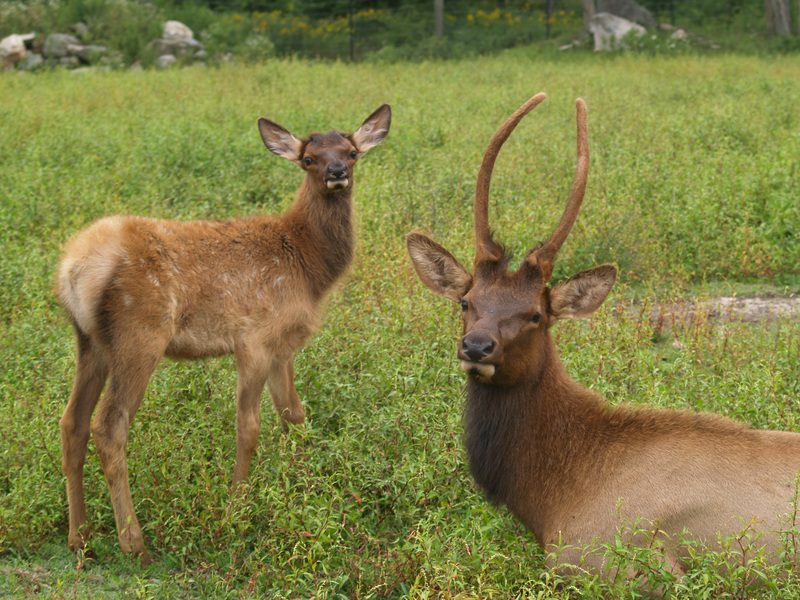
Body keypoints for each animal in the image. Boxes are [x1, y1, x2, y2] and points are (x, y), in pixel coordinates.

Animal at [55, 104, 390, 564]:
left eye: (352, 151)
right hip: (139, 333)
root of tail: (72, 268)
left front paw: (302, 487)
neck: (307, 266)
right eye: (308, 158)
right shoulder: (254, 337)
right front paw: (236, 511)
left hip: (91, 343)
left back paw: (80, 538)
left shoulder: (282, 346)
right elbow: (248, 426)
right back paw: (134, 543)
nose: (336, 171)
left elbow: (294, 415)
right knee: (109, 427)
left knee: (72, 421)